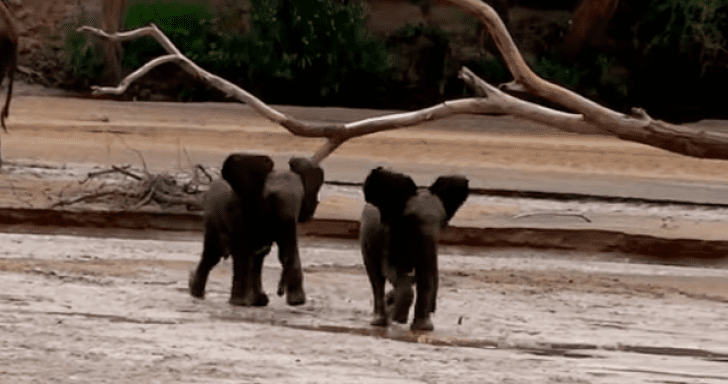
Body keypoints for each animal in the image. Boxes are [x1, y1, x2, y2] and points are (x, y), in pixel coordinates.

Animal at [191, 153, 324, 306]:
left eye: (301, 197)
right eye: (271, 197)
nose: (280, 292)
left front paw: (296, 301)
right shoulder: (239, 211)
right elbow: (242, 250)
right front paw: (241, 303)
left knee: (256, 257)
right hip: (212, 218)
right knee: (213, 253)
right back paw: (197, 294)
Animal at [360, 167, 472, 330]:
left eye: (443, 223)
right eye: (411, 221)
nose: (433, 308)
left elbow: (425, 274)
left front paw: (423, 327)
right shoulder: (388, 237)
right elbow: (391, 270)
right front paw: (399, 319)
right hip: (367, 241)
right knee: (376, 278)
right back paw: (380, 320)